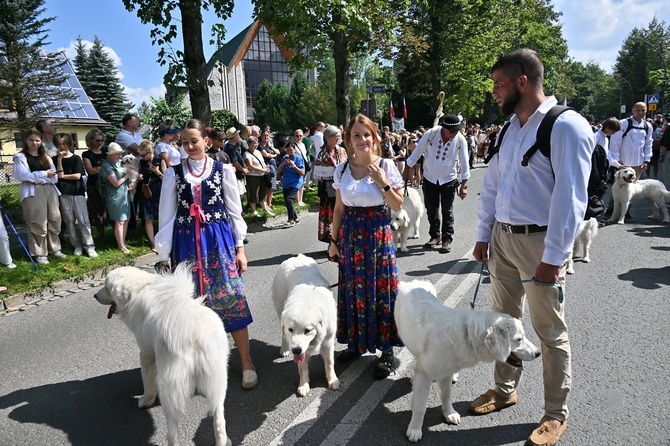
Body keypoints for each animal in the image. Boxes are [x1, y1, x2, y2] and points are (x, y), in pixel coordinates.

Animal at [93, 264, 232, 446]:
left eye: (106, 287)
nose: (95, 295)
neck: (139, 289)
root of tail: (192, 329)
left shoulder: (146, 353)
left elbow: (147, 381)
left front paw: (145, 401)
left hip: (170, 386)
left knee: (172, 429)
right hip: (218, 379)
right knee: (219, 420)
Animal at [270, 254, 338, 398]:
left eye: (307, 330)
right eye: (291, 330)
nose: (295, 350)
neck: (307, 301)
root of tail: (296, 257)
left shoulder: (328, 341)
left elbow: (329, 362)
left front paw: (333, 381)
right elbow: (302, 368)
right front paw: (303, 386)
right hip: (280, 307)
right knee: (283, 335)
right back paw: (285, 349)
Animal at [396, 280, 544, 440]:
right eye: (518, 339)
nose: (538, 353)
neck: (467, 335)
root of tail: (413, 282)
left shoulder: (446, 372)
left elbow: (446, 395)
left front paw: (449, 413)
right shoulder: (425, 374)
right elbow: (420, 406)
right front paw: (415, 429)